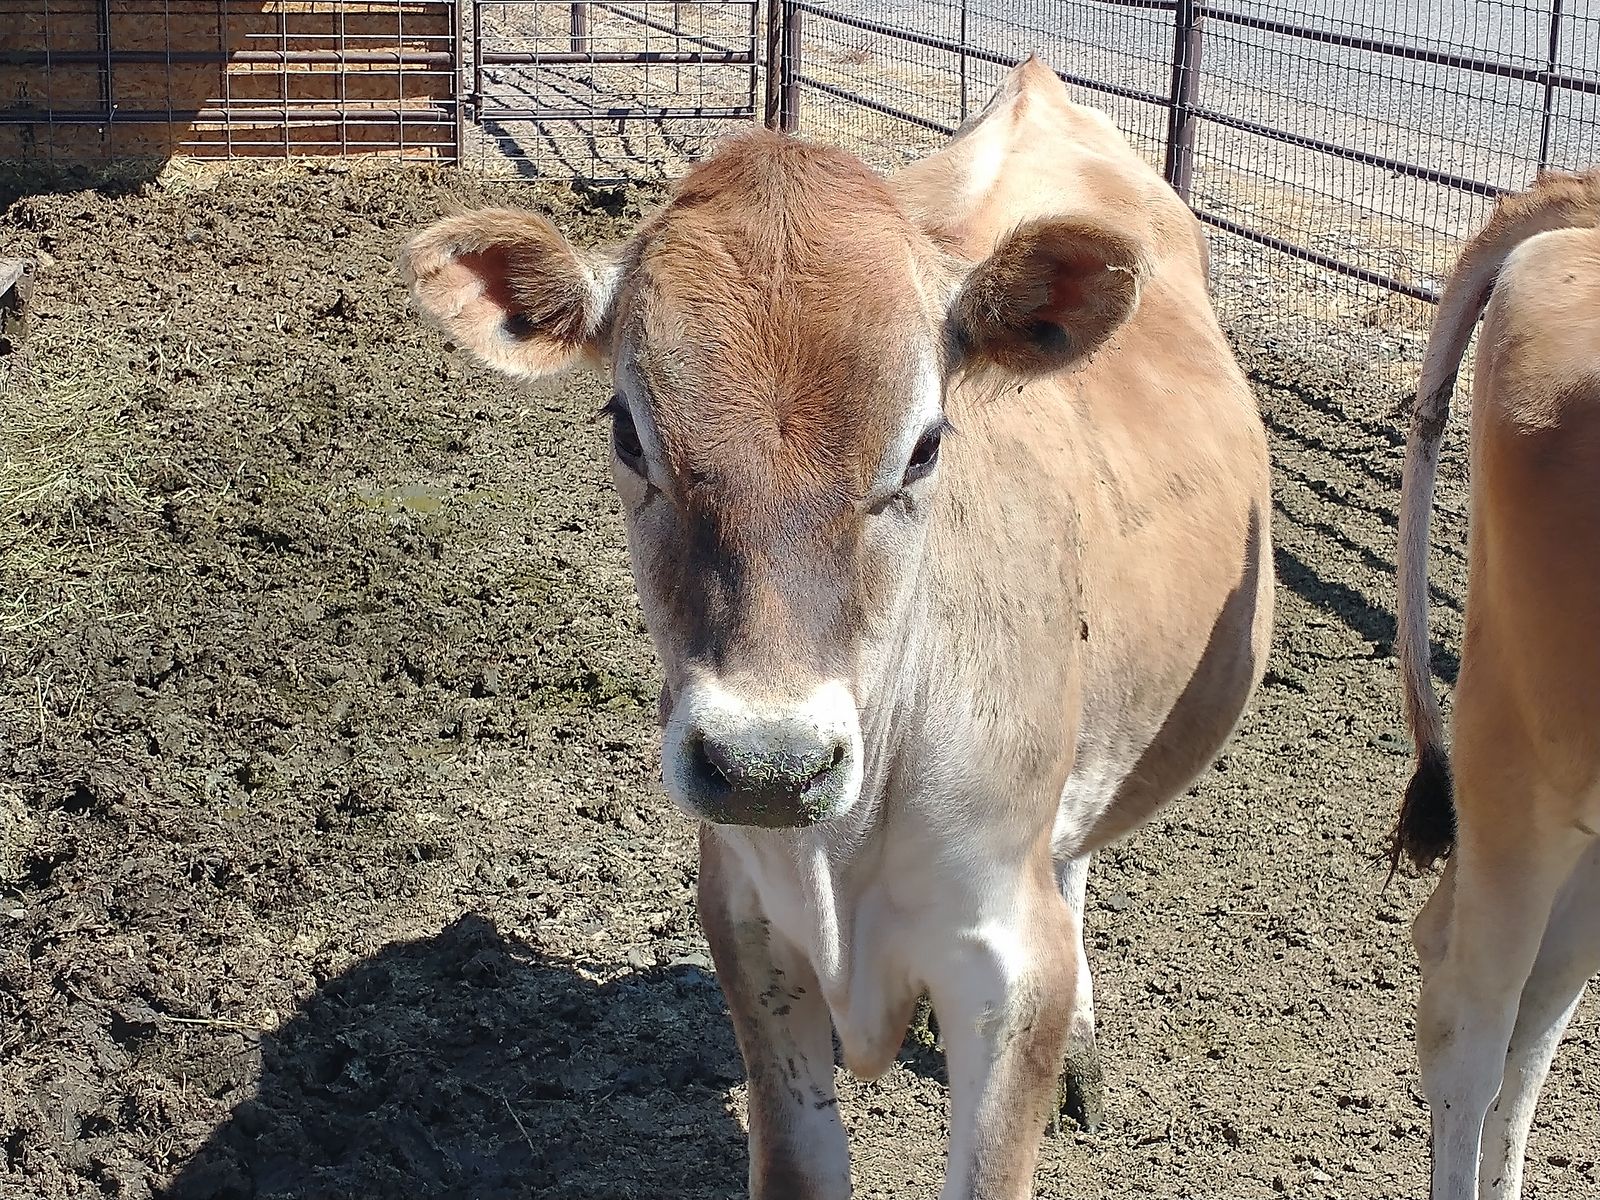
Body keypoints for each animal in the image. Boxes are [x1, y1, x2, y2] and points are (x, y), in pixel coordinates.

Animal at [402, 57, 1273, 1200]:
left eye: (927, 443)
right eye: (628, 430)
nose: (767, 764)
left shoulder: (1009, 967)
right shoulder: (747, 922)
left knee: (1078, 853)